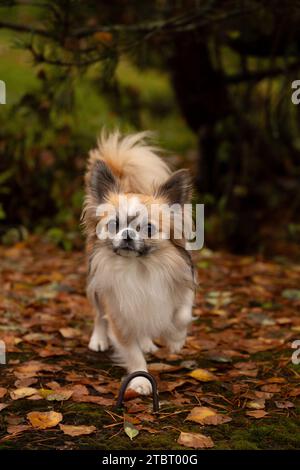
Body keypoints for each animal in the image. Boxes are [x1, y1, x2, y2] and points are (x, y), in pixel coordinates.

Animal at [81, 130, 196, 394]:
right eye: (114, 225)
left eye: (149, 228)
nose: (127, 235)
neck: (141, 268)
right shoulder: (118, 313)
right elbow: (131, 353)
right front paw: (141, 380)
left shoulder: (182, 285)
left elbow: (181, 314)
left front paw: (175, 340)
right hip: (95, 287)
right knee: (98, 314)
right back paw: (99, 339)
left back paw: (147, 342)